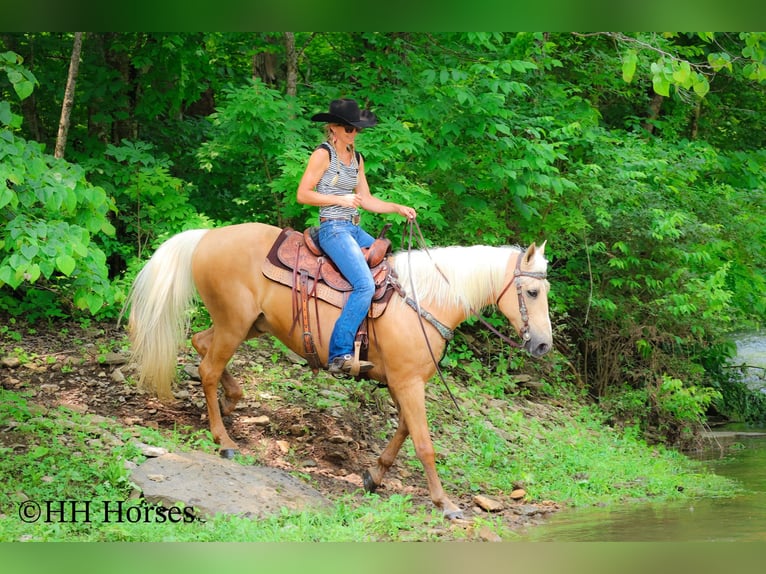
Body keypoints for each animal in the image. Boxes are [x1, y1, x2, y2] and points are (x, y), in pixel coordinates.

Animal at [125, 222, 552, 519]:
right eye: (532, 292)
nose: (543, 345)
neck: (426, 299)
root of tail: (208, 235)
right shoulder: (408, 382)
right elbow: (423, 442)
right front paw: (444, 503)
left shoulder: (401, 382)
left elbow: (402, 431)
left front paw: (374, 476)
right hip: (235, 323)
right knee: (209, 367)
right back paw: (224, 439)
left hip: (247, 325)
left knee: (201, 344)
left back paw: (231, 403)